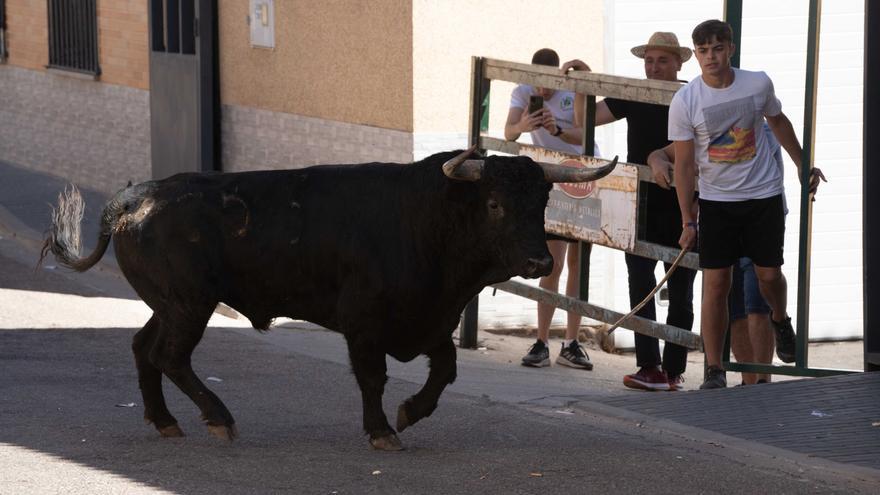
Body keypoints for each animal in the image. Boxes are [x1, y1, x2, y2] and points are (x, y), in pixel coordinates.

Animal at [43, 146, 620, 450]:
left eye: (543, 201)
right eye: (496, 203)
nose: (541, 263)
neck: (426, 221)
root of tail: (137, 196)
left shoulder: (430, 320)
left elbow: (446, 368)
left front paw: (411, 412)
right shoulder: (363, 322)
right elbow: (373, 377)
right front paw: (382, 429)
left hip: (169, 304)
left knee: (144, 348)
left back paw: (165, 421)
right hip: (189, 303)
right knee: (170, 356)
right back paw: (218, 417)